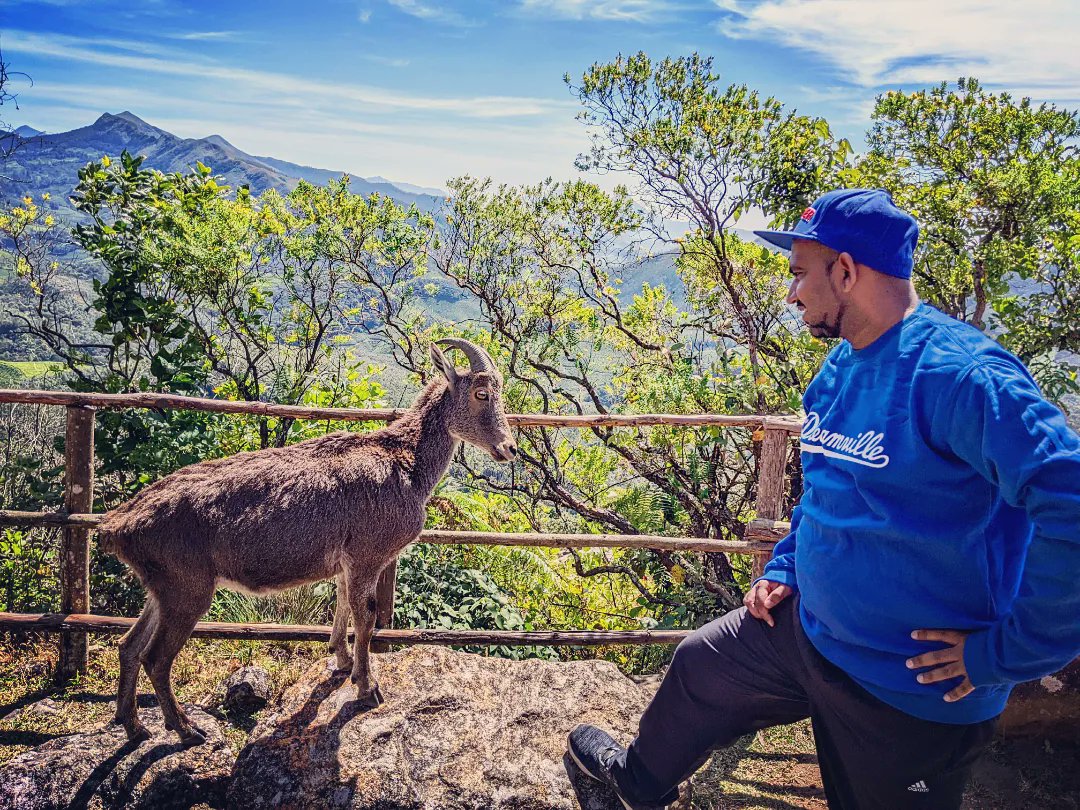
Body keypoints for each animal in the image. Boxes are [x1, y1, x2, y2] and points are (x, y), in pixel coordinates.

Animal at [97, 338, 517, 744]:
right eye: (481, 393)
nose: (509, 448)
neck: (404, 461)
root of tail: (117, 525)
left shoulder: (347, 563)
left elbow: (343, 606)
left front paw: (343, 662)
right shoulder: (368, 556)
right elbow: (365, 617)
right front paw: (367, 688)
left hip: (161, 588)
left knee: (128, 647)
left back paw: (134, 725)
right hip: (188, 588)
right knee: (155, 659)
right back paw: (185, 729)